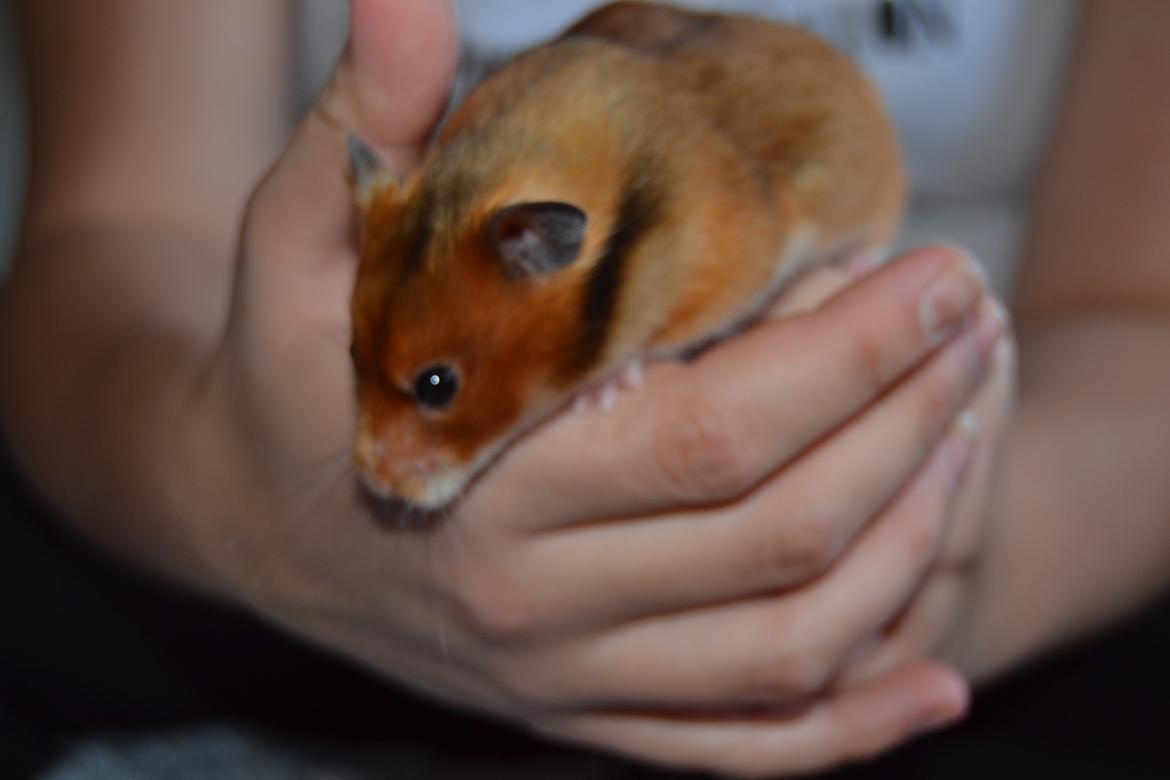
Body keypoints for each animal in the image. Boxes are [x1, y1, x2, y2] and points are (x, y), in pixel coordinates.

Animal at [348, 1, 904, 508]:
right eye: (352, 352)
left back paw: (856, 265)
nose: (375, 485)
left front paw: (600, 394)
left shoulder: (726, 272)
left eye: (437, 385)